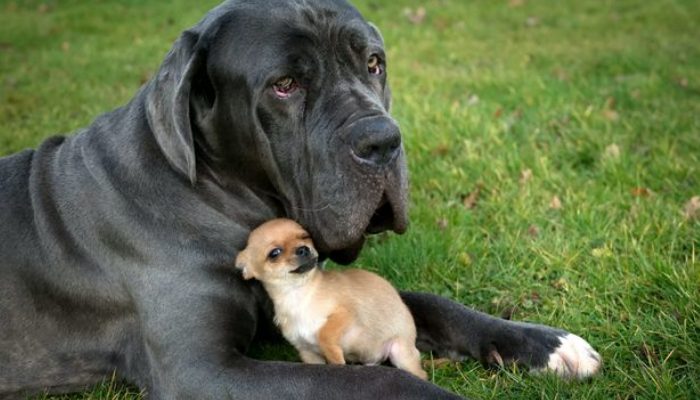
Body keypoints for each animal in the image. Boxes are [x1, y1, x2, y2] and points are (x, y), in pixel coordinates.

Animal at [237, 219, 426, 378]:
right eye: (274, 253)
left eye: (305, 237)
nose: (303, 248)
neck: (298, 294)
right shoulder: (307, 352)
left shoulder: (346, 314)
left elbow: (324, 333)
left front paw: (334, 358)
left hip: (400, 352)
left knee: (421, 374)